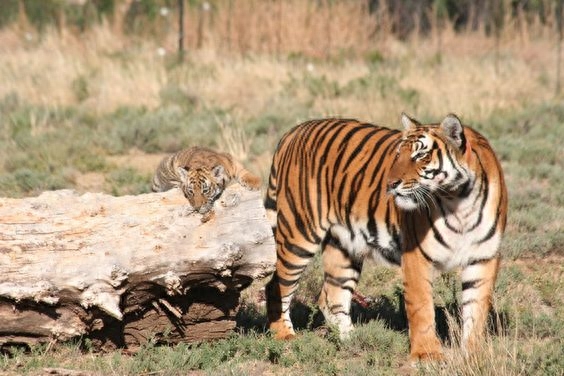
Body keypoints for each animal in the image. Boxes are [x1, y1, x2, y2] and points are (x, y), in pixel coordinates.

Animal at [266, 113, 508, 360]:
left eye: (420, 155)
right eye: (398, 154)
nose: (390, 185)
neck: (459, 202)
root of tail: (295, 131)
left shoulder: (483, 257)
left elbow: (476, 309)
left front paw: (474, 353)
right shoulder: (416, 256)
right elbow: (421, 306)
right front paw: (427, 354)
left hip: (344, 246)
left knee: (331, 295)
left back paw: (353, 340)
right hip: (299, 234)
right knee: (275, 286)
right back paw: (284, 337)